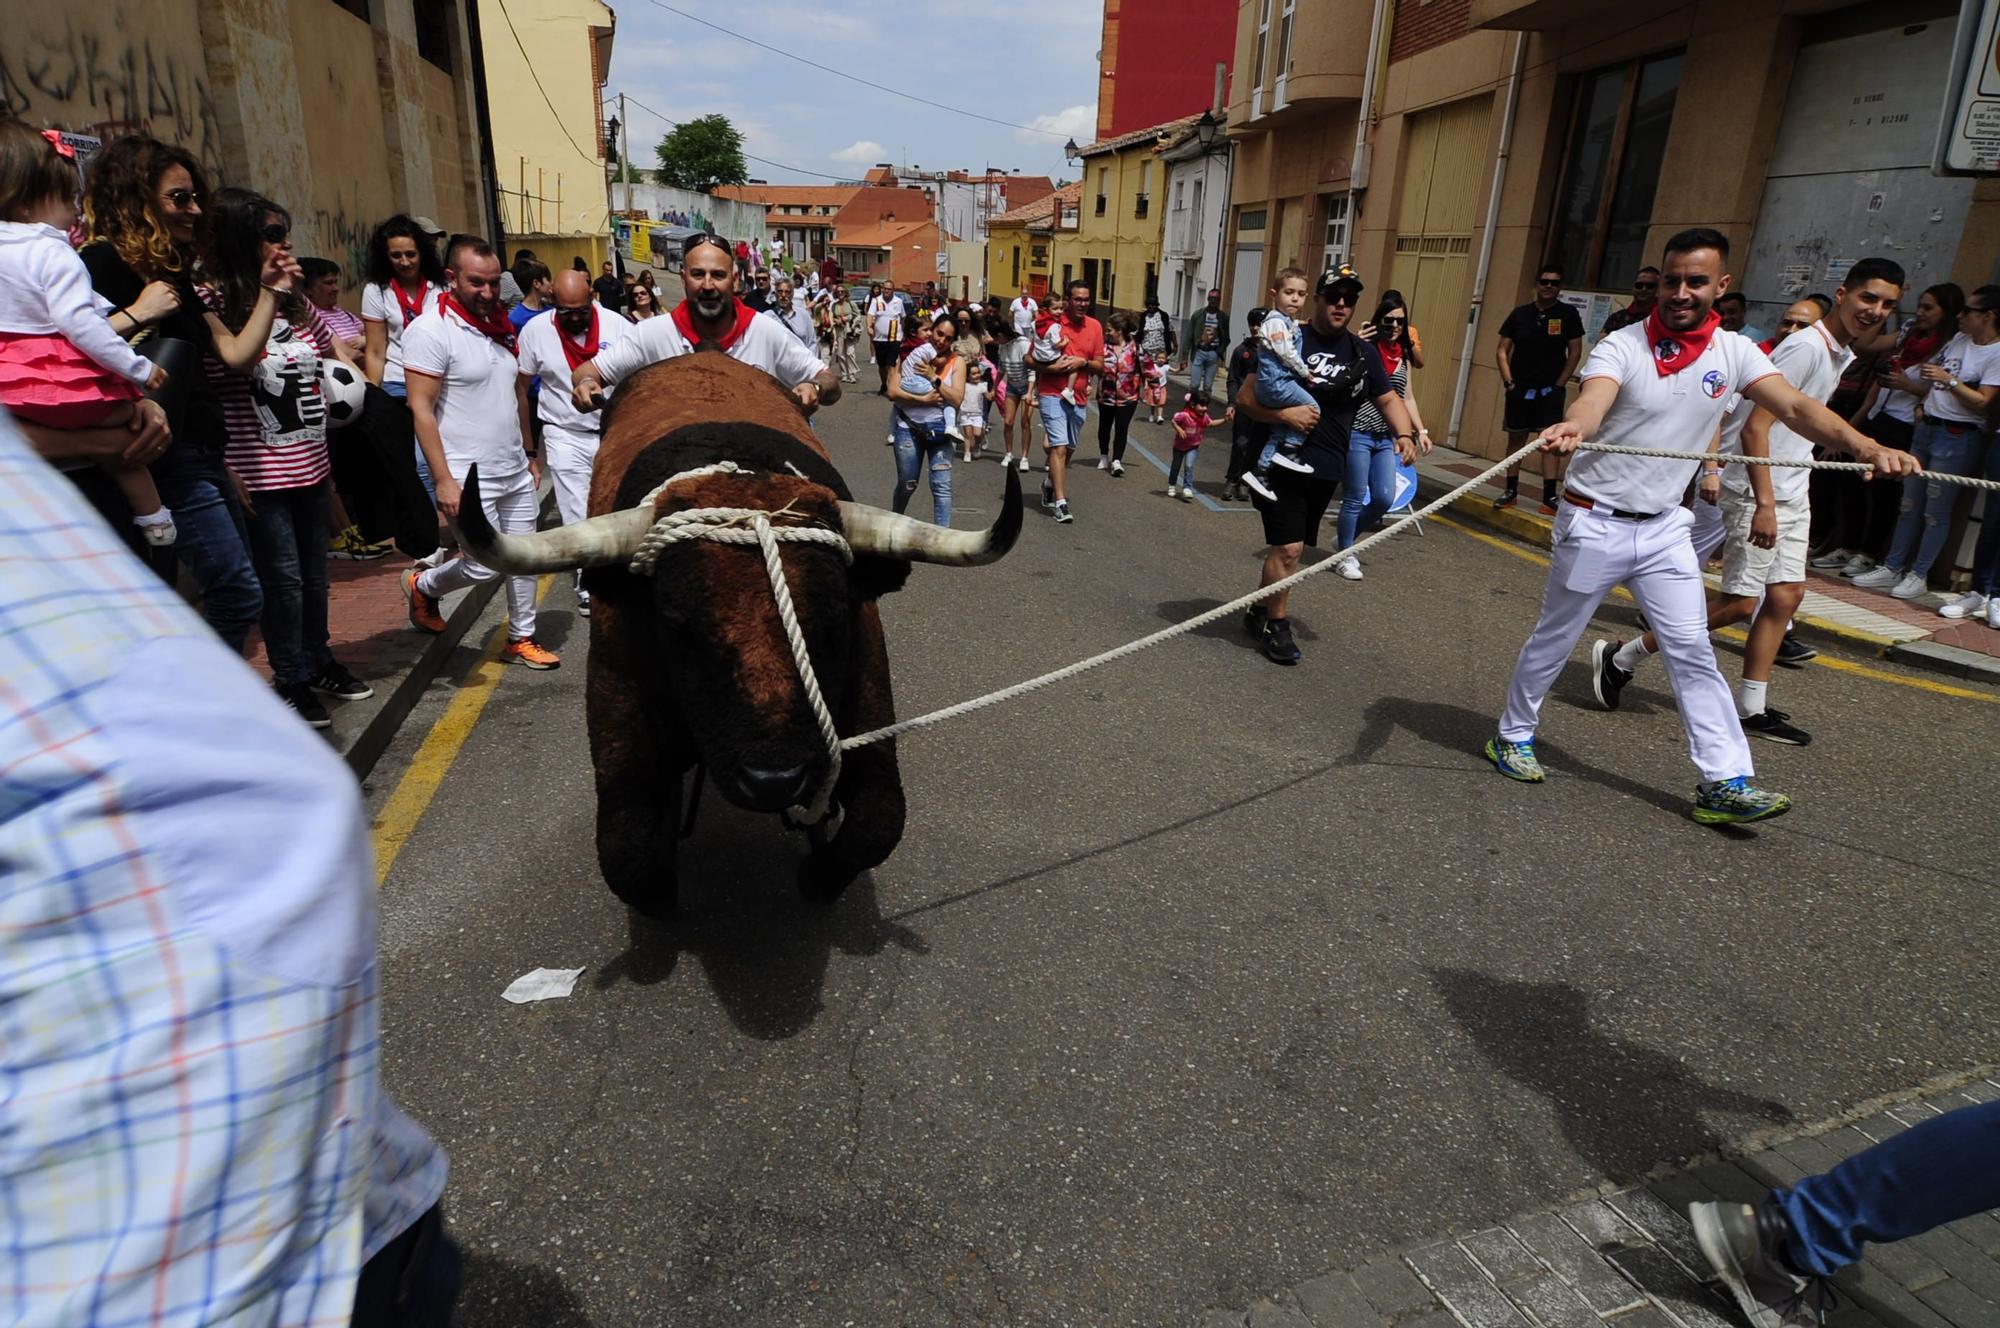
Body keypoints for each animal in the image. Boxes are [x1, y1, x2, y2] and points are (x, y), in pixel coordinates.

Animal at [460, 352, 1024, 912]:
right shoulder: (615, 696)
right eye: (676, 623)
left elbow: (879, 819)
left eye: (834, 616)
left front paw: (819, 877)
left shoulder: (866, 686)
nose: (774, 780)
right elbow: (627, 853)